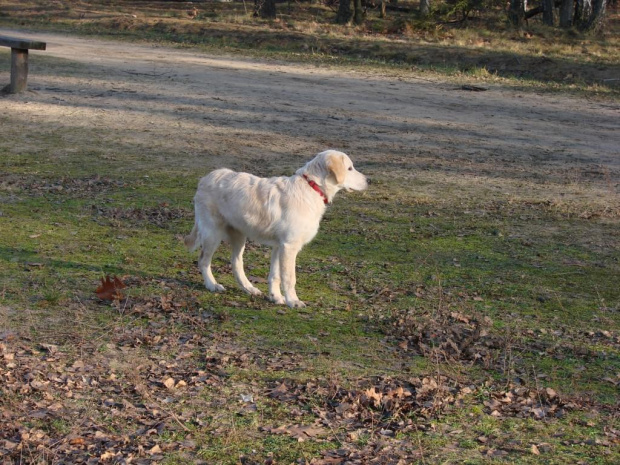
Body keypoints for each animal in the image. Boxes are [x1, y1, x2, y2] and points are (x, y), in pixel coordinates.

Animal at [184, 150, 368, 308]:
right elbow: (289, 278)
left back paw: (249, 288)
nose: (369, 181)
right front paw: (293, 301)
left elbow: (275, 275)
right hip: (212, 233)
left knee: (236, 263)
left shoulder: (279, 246)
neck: (311, 187)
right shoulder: (289, 246)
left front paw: (276, 297)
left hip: (239, 235)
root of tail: (206, 178)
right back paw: (212, 285)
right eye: (350, 168)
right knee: (203, 260)